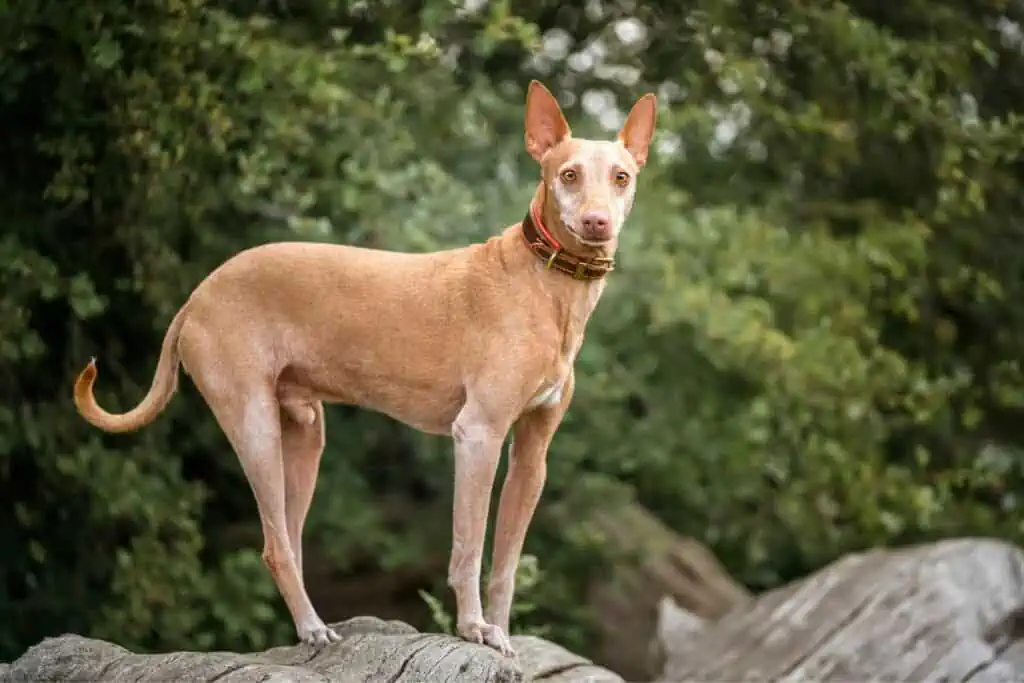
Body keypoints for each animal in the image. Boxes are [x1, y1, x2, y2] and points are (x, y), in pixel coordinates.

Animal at [75, 80, 659, 655]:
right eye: (568, 174)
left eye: (622, 177)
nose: (597, 223)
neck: (546, 282)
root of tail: (197, 296)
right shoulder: (478, 434)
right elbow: (469, 548)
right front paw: (472, 628)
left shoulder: (531, 456)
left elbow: (507, 564)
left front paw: (500, 635)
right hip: (254, 426)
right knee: (274, 546)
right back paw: (313, 628)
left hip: (305, 435)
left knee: (289, 539)